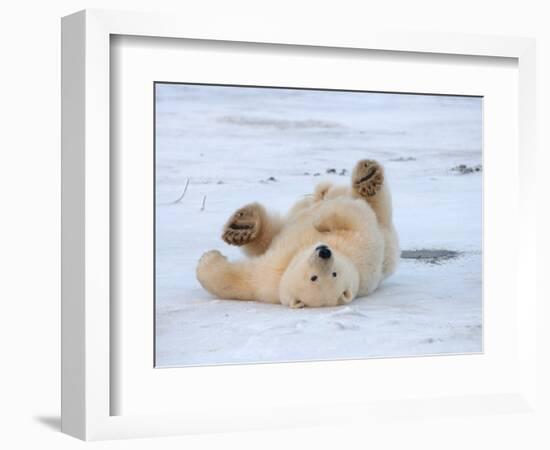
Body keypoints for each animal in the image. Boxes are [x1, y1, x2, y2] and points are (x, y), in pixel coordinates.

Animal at [196, 160, 398, 308]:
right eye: (314, 277)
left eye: (333, 274)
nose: (324, 252)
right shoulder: (270, 277)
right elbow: (242, 280)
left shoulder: (363, 248)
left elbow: (355, 216)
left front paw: (207, 259)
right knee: (272, 232)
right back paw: (242, 227)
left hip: (386, 232)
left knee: (375, 206)